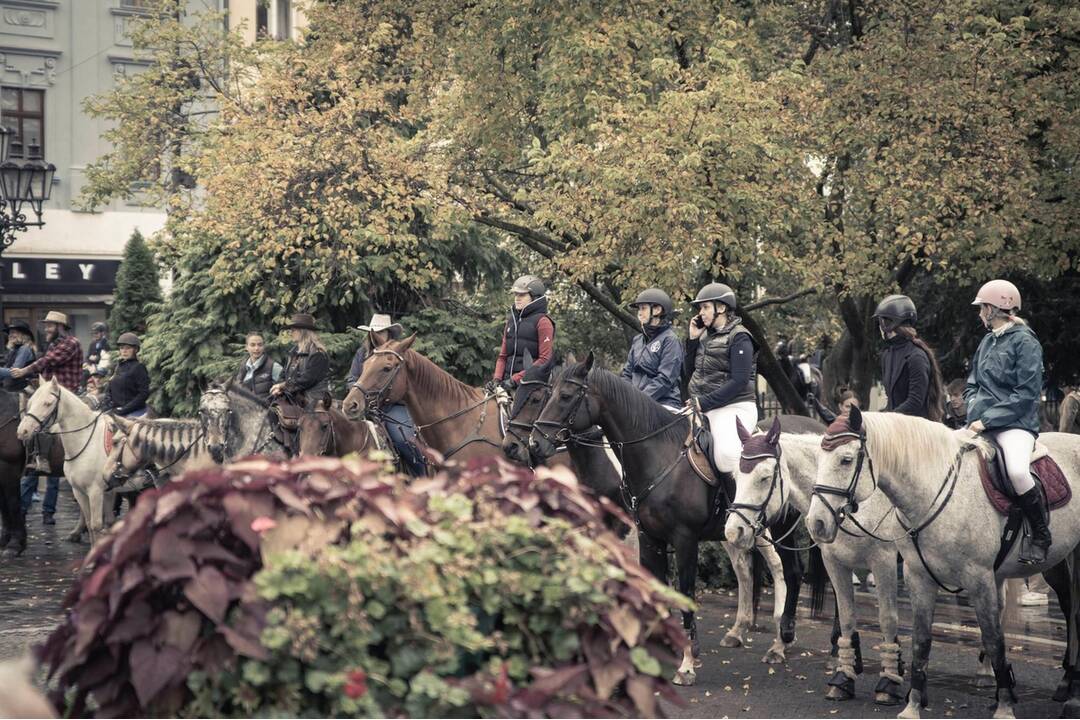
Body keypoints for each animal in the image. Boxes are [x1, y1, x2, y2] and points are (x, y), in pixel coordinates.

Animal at [17, 379, 115, 544]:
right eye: (31, 402)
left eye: (48, 403)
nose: (22, 431)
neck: (85, 439)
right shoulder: (80, 489)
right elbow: (90, 523)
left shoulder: (96, 490)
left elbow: (96, 525)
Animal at [527, 354, 812, 686]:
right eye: (547, 394)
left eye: (566, 396)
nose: (534, 444)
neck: (659, 457)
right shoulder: (649, 537)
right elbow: (654, 590)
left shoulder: (683, 539)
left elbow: (684, 593)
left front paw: (686, 662)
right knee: (750, 570)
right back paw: (746, 633)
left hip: (776, 526)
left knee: (788, 571)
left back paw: (780, 642)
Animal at [721, 418, 915, 708]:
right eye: (735, 476)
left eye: (765, 477)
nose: (734, 531)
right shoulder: (834, 559)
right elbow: (845, 612)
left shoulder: (884, 562)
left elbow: (887, 618)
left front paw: (889, 680)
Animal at [807, 408, 1080, 716]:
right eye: (818, 458)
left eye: (846, 459)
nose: (816, 523)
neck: (935, 494)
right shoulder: (918, 577)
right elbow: (920, 640)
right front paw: (912, 704)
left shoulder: (977, 579)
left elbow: (994, 639)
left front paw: (1005, 707)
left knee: (1072, 613)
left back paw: (1067, 691)